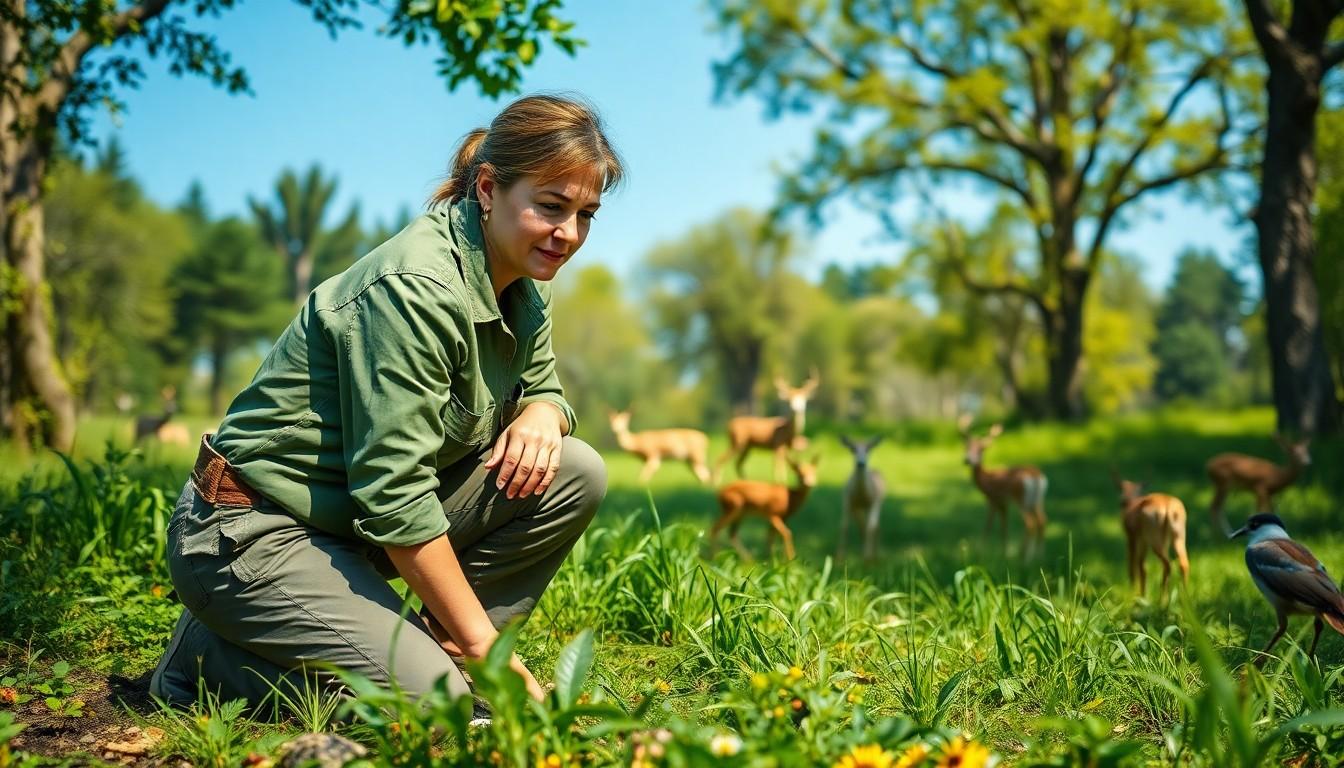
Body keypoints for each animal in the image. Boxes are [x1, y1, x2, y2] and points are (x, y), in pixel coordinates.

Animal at [956, 416, 1048, 562]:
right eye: (967, 447)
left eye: (980, 449)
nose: (967, 460)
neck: (986, 479)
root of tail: (1036, 476)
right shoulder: (1004, 504)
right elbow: (1004, 527)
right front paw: (1005, 552)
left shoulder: (994, 500)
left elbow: (989, 525)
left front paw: (982, 551)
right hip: (1037, 501)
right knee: (1042, 521)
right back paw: (1039, 555)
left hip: (1021, 498)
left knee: (1030, 524)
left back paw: (1026, 557)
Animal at [1112, 468, 1188, 599]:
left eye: (1121, 502)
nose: (1122, 501)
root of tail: (1168, 507)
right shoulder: (1153, 540)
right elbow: (1142, 566)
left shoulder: (1133, 537)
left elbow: (1136, 566)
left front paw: (1135, 595)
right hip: (1178, 536)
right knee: (1183, 563)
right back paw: (1186, 598)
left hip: (1154, 539)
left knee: (1167, 564)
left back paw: (1162, 599)